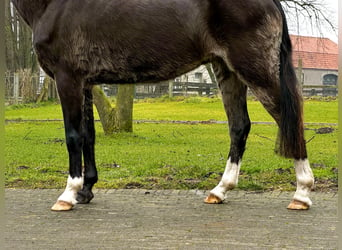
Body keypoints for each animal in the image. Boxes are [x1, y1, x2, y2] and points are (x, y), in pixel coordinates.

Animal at [12, 0, 314, 211]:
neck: (55, 4)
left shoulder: (68, 78)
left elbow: (73, 137)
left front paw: (67, 195)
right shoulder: (85, 83)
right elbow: (89, 136)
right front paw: (85, 192)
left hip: (254, 68)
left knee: (289, 119)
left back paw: (302, 194)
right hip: (226, 70)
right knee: (239, 126)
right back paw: (219, 190)